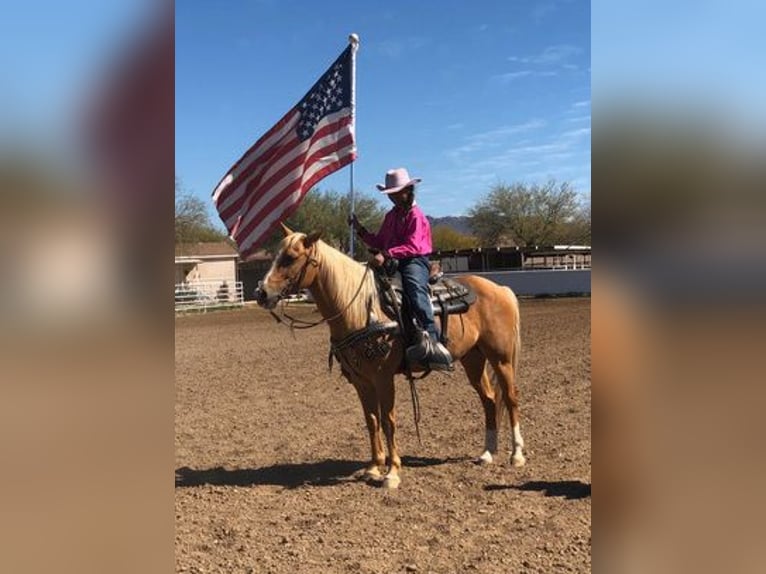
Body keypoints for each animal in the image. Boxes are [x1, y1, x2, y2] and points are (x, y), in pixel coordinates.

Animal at [255, 225, 524, 490]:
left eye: (290, 258)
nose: (262, 292)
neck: (361, 309)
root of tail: (500, 289)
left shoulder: (383, 377)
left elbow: (388, 420)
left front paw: (392, 472)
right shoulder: (361, 381)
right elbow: (372, 420)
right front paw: (374, 467)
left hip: (501, 358)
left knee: (510, 398)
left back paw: (517, 455)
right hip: (473, 358)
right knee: (489, 399)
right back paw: (487, 453)